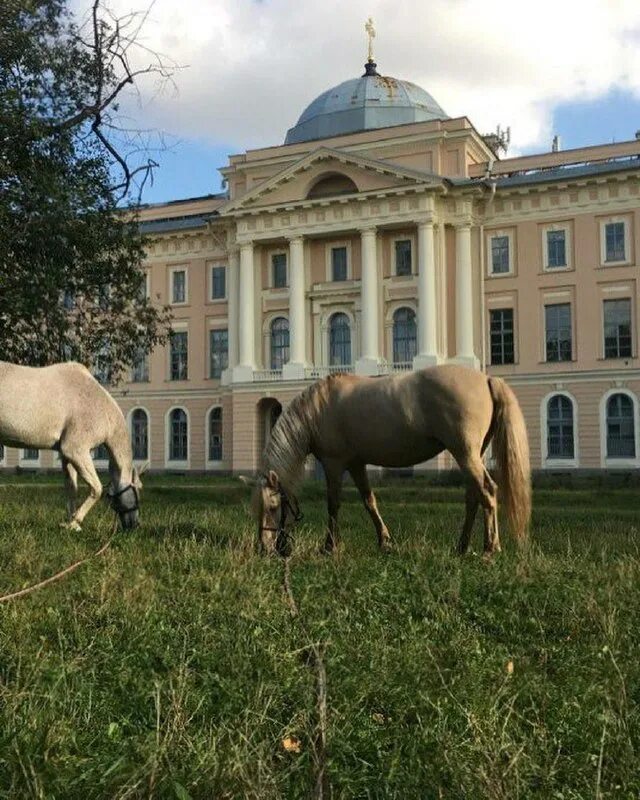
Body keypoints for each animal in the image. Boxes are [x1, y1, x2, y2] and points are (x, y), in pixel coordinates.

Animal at [0, 360, 142, 528]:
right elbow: (96, 488)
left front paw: (70, 523)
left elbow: (71, 488)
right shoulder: (75, 450)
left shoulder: (67, 456)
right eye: (138, 490)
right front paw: (76, 520)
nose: (134, 524)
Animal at [245, 364, 528, 556]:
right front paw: (385, 541)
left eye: (272, 506)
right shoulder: (356, 464)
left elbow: (333, 504)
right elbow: (369, 501)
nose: (264, 548)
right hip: (471, 455)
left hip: (465, 453)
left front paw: (330, 546)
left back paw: (490, 548)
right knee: (474, 497)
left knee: (487, 492)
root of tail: (487, 379)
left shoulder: (334, 464)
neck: (318, 409)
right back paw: (462, 546)